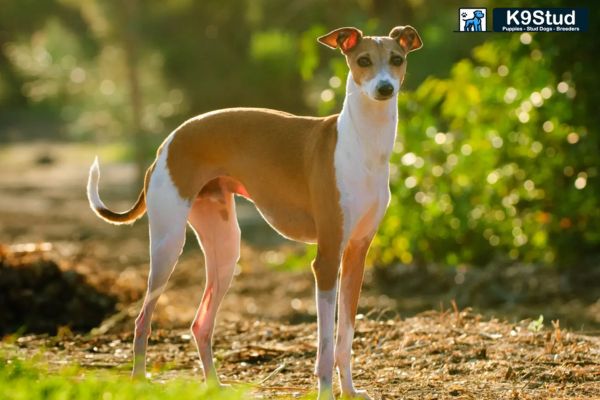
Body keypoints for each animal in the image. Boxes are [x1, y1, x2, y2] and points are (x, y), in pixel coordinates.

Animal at [88, 26, 422, 398]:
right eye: (363, 60)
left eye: (397, 59)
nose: (385, 89)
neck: (361, 145)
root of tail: (167, 142)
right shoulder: (326, 259)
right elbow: (324, 343)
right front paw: (324, 391)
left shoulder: (356, 255)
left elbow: (345, 336)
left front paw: (349, 389)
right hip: (167, 246)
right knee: (142, 320)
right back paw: (139, 380)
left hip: (225, 250)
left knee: (200, 323)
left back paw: (214, 384)